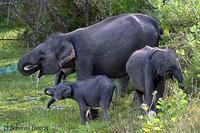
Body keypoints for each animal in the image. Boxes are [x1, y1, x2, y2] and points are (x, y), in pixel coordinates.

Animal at [17, 13, 162, 96]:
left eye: (42, 53)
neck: (67, 36)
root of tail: (156, 23)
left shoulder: (84, 56)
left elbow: (83, 78)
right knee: (124, 76)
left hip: (146, 41)